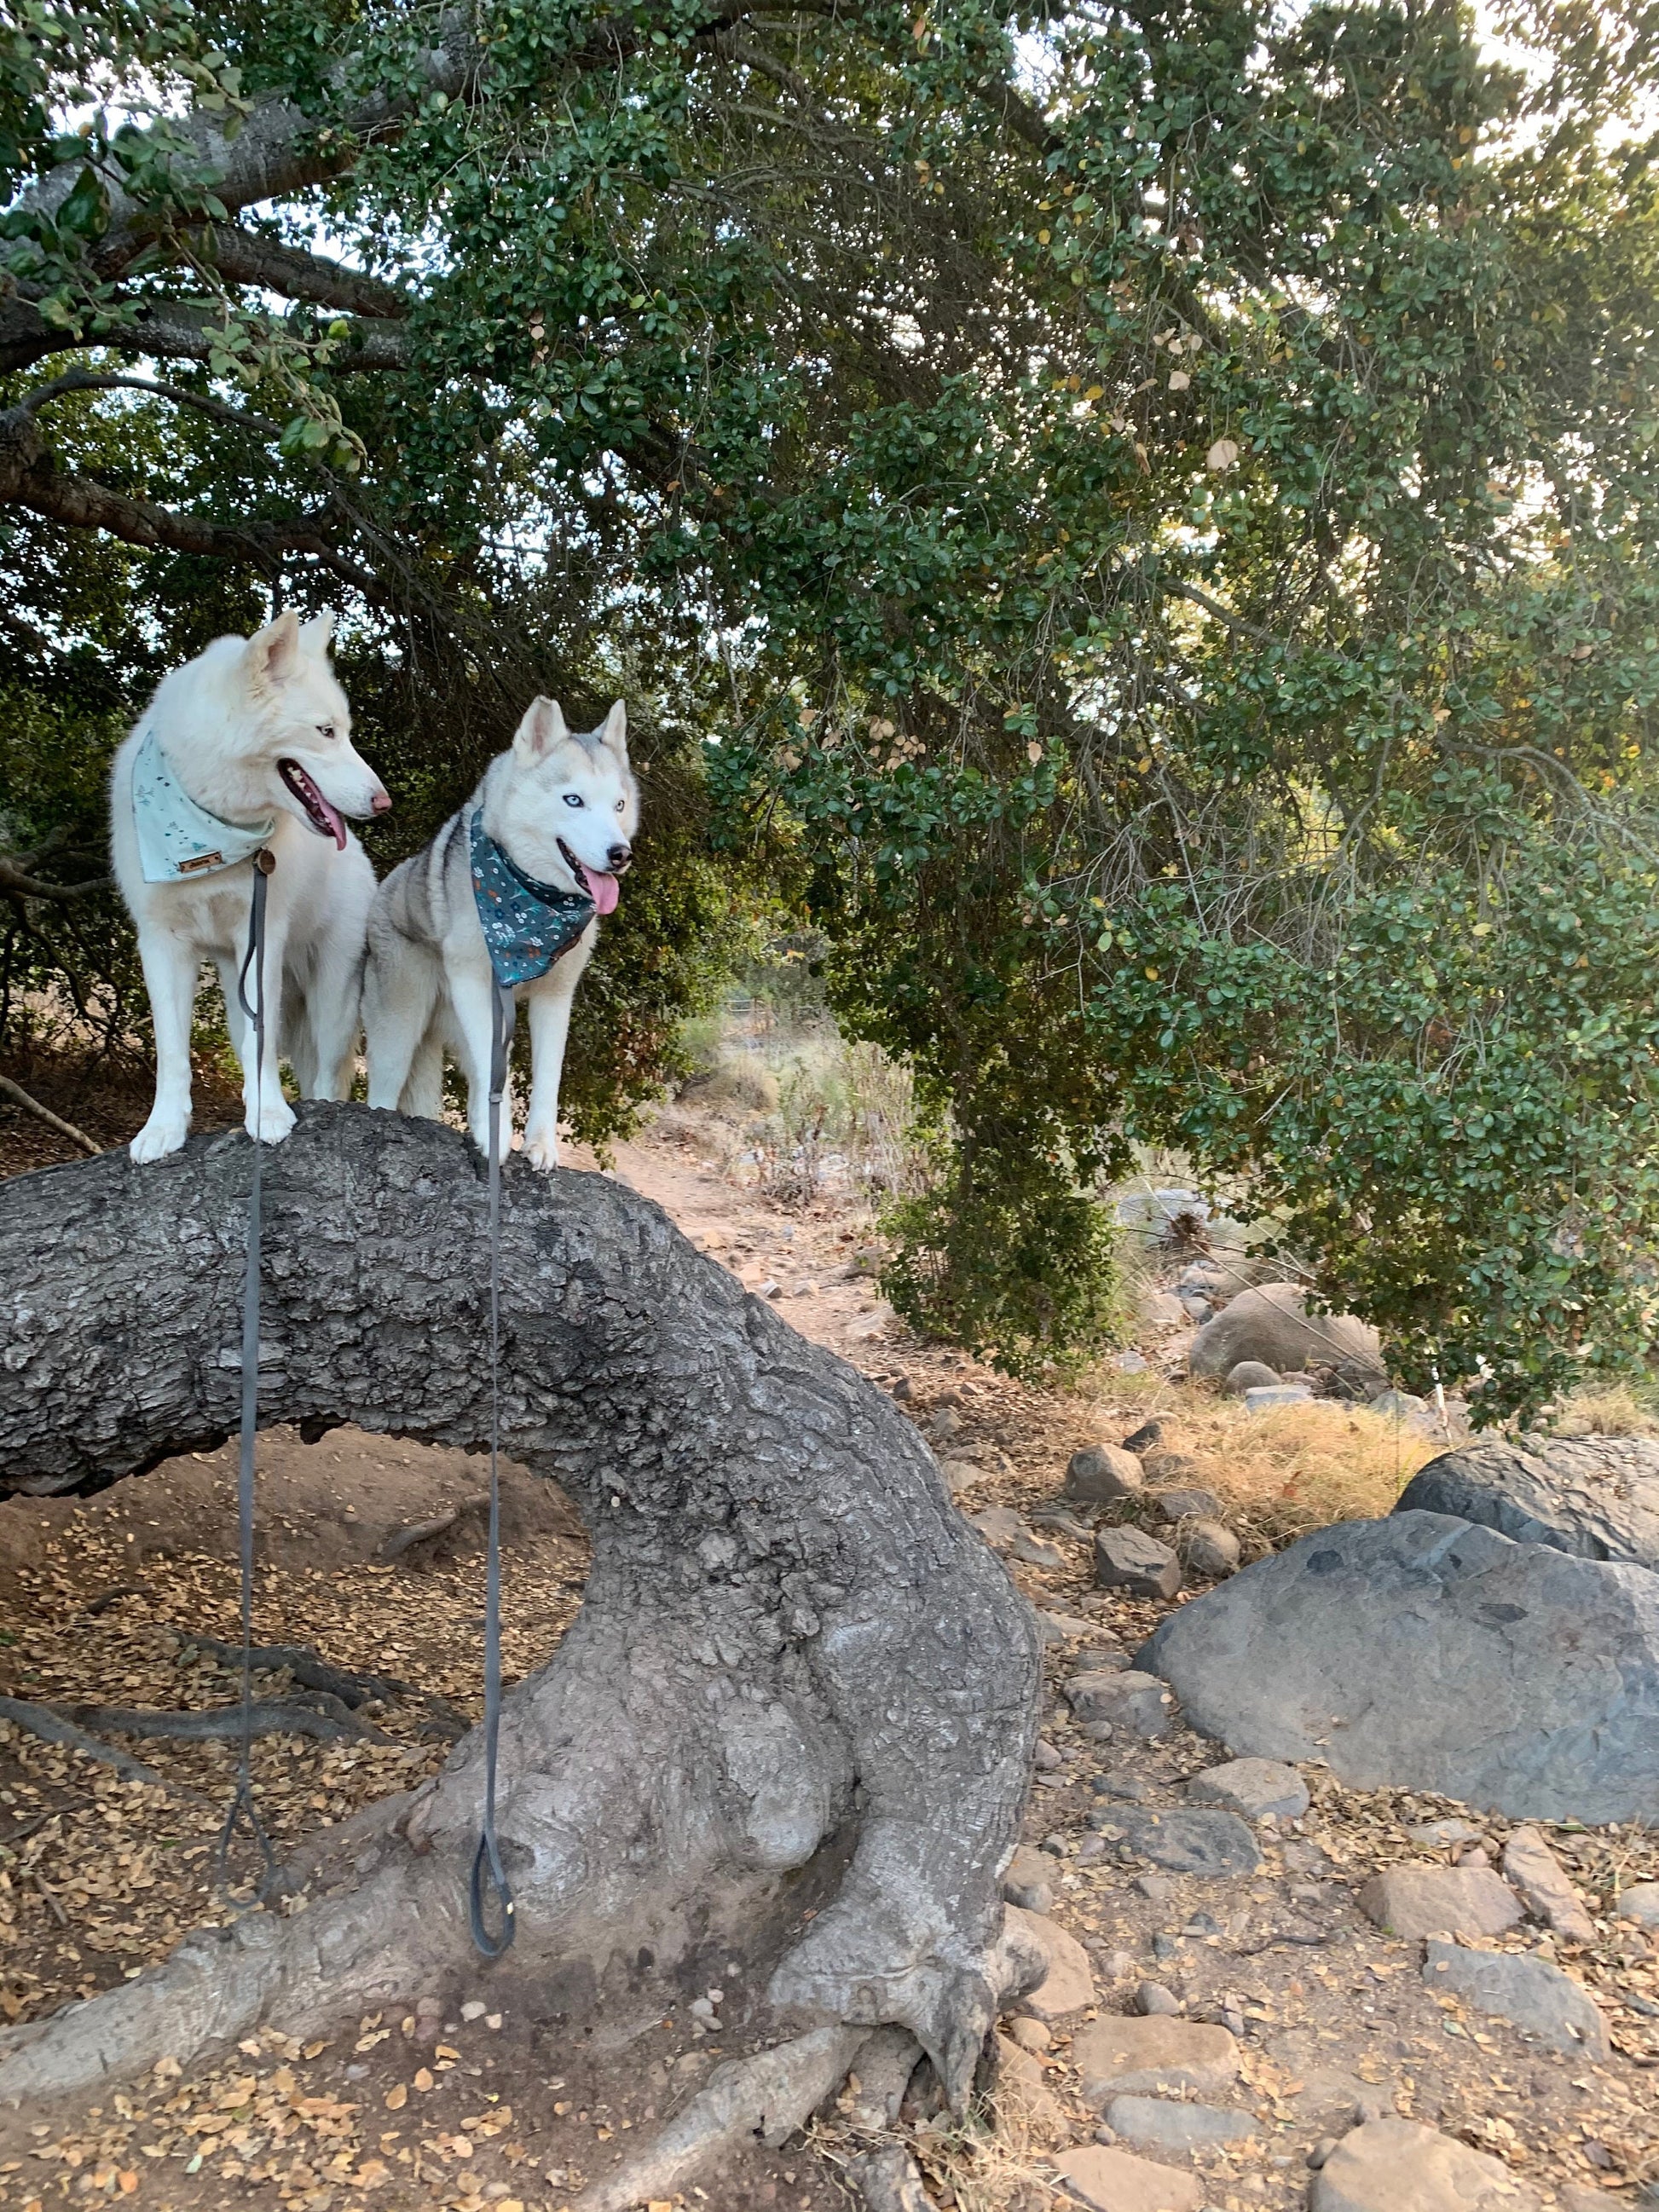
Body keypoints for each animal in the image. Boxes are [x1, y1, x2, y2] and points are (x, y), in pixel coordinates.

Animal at [108, 606, 391, 1158]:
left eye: (345, 732)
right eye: (326, 731)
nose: (383, 801)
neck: (207, 831)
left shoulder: (262, 937)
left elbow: (262, 1051)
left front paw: (269, 1114)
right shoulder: (162, 944)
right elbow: (172, 1051)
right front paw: (162, 1129)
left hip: (331, 1001)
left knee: (326, 1076)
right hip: (233, 982)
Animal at [367, 699, 641, 1168]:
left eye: (619, 805)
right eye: (574, 800)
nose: (619, 854)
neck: (530, 901)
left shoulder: (555, 998)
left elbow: (546, 1079)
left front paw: (541, 1145)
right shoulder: (474, 983)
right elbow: (496, 1074)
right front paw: (494, 1137)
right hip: (398, 1037)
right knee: (382, 1095)